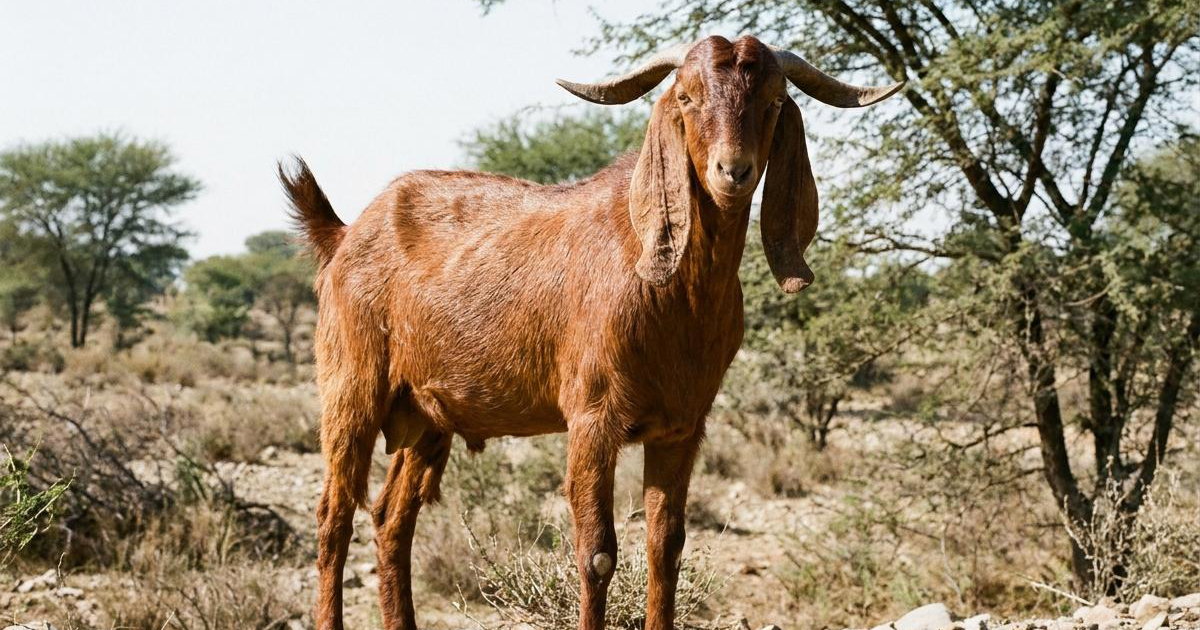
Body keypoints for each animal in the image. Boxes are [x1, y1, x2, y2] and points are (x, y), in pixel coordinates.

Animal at [280, 35, 901, 630]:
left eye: (773, 100)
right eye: (687, 96)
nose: (734, 171)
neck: (676, 292)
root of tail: (343, 235)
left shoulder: (681, 428)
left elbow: (667, 547)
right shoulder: (591, 419)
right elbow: (597, 553)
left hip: (427, 416)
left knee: (391, 517)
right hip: (352, 389)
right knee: (334, 517)